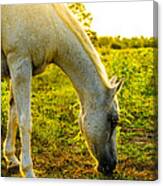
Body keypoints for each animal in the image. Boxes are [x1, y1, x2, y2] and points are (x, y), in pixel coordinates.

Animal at [0, 4, 123, 177]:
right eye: (113, 120)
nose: (111, 166)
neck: (49, 23)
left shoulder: (16, 70)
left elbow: (13, 114)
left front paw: (11, 159)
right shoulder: (20, 64)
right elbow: (25, 121)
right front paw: (28, 171)